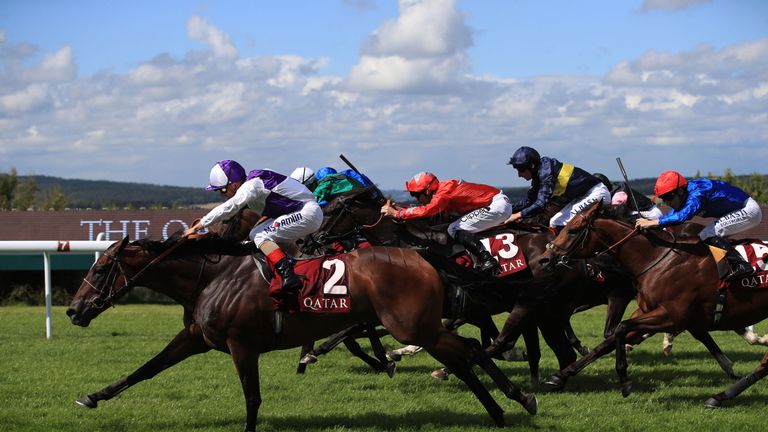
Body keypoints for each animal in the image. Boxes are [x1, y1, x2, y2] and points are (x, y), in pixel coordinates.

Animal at [66, 236, 536, 432]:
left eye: (100, 269)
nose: (73, 310)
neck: (211, 278)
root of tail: (422, 255)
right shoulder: (197, 339)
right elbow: (145, 369)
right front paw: (92, 396)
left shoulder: (241, 345)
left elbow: (252, 397)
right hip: (420, 324)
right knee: (466, 352)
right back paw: (505, 407)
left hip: (412, 324)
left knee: (468, 350)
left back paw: (515, 401)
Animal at [540, 201, 768, 406]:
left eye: (573, 230)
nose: (545, 258)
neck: (656, 259)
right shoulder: (645, 310)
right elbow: (609, 340)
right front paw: (561, 375)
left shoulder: (671, 315)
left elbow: (620, 328)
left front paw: (624, 380)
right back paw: (721, 395)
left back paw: (721, 395)